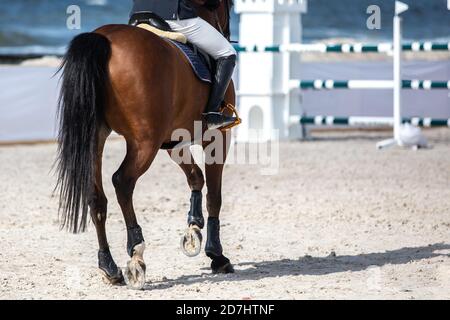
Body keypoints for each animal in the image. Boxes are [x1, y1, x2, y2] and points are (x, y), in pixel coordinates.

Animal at [55, 0, 236, 290]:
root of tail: (104, 38)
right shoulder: (217, 137)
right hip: (144, 144)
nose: (227, 31)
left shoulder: (173, 139)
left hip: (97, 137)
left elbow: (195, 177)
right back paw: (136, 255)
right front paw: (216, 255)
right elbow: (214, 196)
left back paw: (109, 266)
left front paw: (193, 228)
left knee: (96, 197)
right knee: (122, 182)